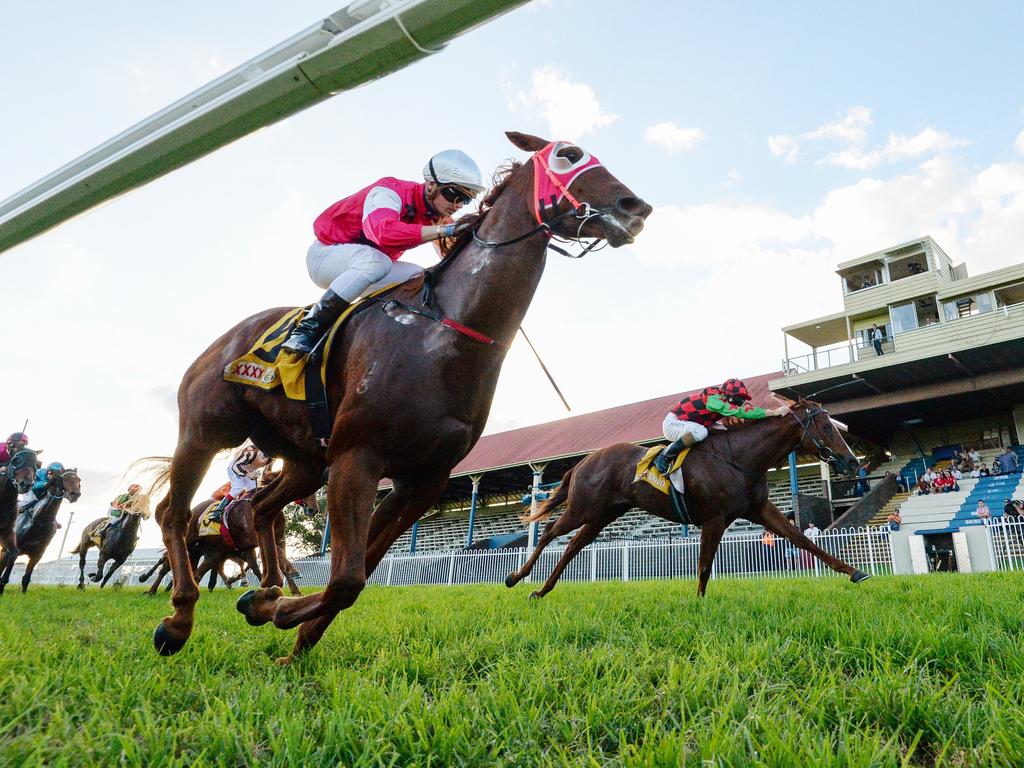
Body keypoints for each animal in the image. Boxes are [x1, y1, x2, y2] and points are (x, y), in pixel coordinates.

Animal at [0, 462, 80, 593]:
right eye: (63, 479)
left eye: (78, 479)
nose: (75, 494)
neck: (40, 519)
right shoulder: (13, 548)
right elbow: (5, 573)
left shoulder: (38, 554)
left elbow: (26, 579)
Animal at [150, 132, 647, 663]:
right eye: (568, 155)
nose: (636, 207)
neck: (446, 332)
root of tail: (227, 338)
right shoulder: (357, 458)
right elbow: (346, 578)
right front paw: (276, 613)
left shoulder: (422, 480)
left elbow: (358, 576)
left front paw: (285, 633)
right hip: (205, 430)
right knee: (172, 514)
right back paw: (178, 619)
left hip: (305, 461)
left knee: (259, 509)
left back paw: (263, 587)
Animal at [503, 399, 872, 598]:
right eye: (827, 428)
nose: (853, 461)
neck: (739, 457)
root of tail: (583, 460)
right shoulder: (714, 518)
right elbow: (704, 565)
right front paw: (699, 602)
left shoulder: (759, 509)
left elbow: (803, 539)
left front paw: (855, 572)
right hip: (584, 507)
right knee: (549, 532)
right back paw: (516, 577)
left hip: (602, 515)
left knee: (572, 547)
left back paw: (542, 590)